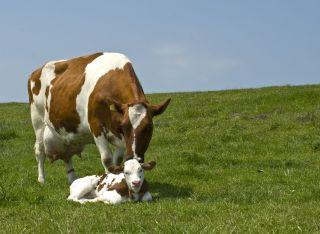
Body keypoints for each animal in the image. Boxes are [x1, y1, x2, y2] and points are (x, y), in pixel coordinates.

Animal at [27, 52, 170, 184]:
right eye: (124, 126)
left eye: (148, 127)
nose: (134, 156)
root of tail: (36, 71)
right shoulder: (96, 125)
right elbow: (107, 158)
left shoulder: (120, 136)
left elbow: (117, 160)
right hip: (37, 120)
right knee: (39, 149)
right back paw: (41, 180)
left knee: (67, 155)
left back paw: (72, 180)